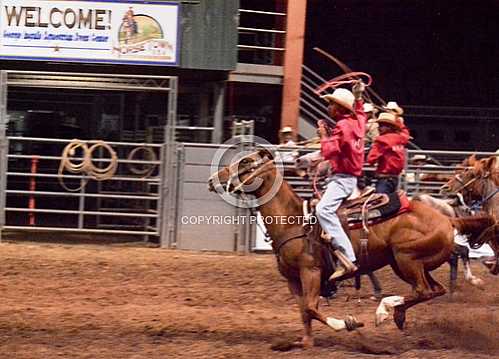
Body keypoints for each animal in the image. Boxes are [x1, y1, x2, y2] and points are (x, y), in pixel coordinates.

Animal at [208, 149, 499, 348]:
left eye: (245, 163)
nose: (212, 179)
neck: (294, 221)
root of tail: (448, 218)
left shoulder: (311, 272)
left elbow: (311, 308)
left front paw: (346, 323)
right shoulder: (293, 279)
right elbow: (304, 311)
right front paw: (306, 343)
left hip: (406, 258)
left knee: (423, 289)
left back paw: (384, 311)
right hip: (408, 263)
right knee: (433, 289)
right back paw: (399, 314)